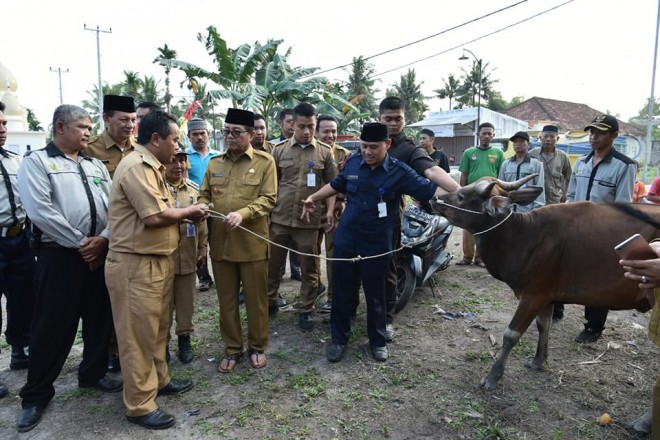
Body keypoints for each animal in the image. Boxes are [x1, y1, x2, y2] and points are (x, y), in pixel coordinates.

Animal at [430, 174, 656, 390]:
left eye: (461, 196)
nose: (435, 199)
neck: (525, 236)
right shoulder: (547, 297)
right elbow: (543, 326)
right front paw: (538, 360)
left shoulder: (532, 296)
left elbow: (511, 335)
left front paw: (493, 377)